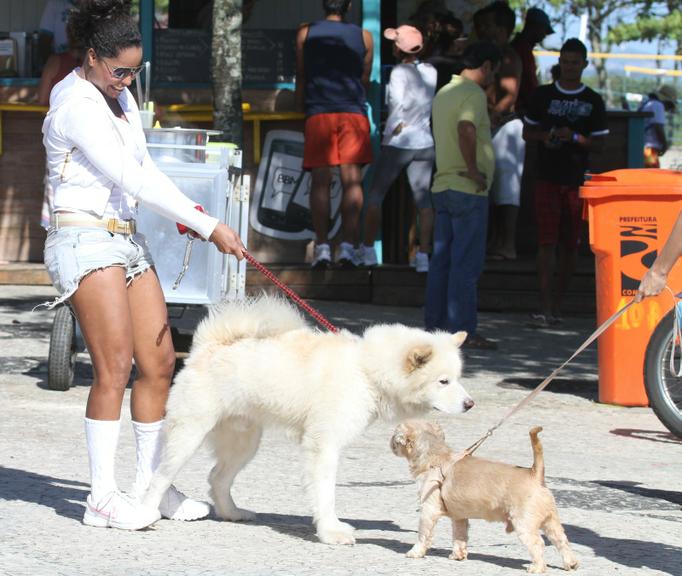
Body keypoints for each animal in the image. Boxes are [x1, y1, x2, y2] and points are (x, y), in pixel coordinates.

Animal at [143, 296, 472, 544]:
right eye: (443, 381)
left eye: (457, 378)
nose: (470, 404)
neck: (366, 370)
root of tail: (208, 346)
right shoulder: (323, 446)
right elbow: (325, 493)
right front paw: (331, 531)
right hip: (189, 434)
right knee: (159, 477)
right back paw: (144, 515)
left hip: (244, 442)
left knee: (217, 478)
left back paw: (232, 513)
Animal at [390, 418, 576, 572]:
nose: (390, 442)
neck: (435, 458)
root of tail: (534, 473)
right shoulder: (459, 517)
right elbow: (459, 536)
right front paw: (458, 555)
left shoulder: (429, 510)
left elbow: (423, 534)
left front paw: (415, 552)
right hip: (551, 522)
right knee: (562, 540)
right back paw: (571, 563)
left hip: (524, 524)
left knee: (538, 544)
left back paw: (537, 567)